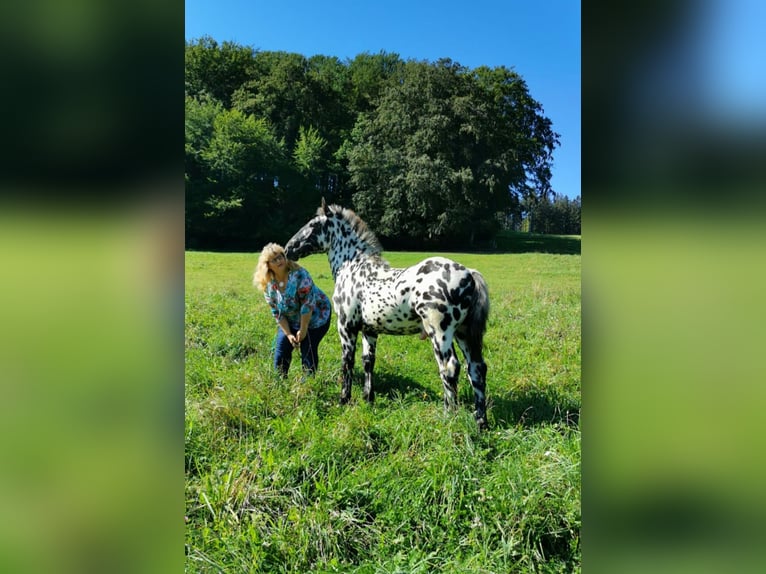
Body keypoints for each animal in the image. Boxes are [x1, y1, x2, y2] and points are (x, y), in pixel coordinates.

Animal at [286, 200, 492, 430]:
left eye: (313, 225)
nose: (288, 248)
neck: (353, 267)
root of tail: (469, 274)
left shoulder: (346, 328)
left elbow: (347, 362)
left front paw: (343, 400)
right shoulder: (369, 331)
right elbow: (368, 361)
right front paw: (368, 399)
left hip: (440, 333)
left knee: (449, 368)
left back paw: (449, 417)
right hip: (464, 333)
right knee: (476, 369)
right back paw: (481, 422)